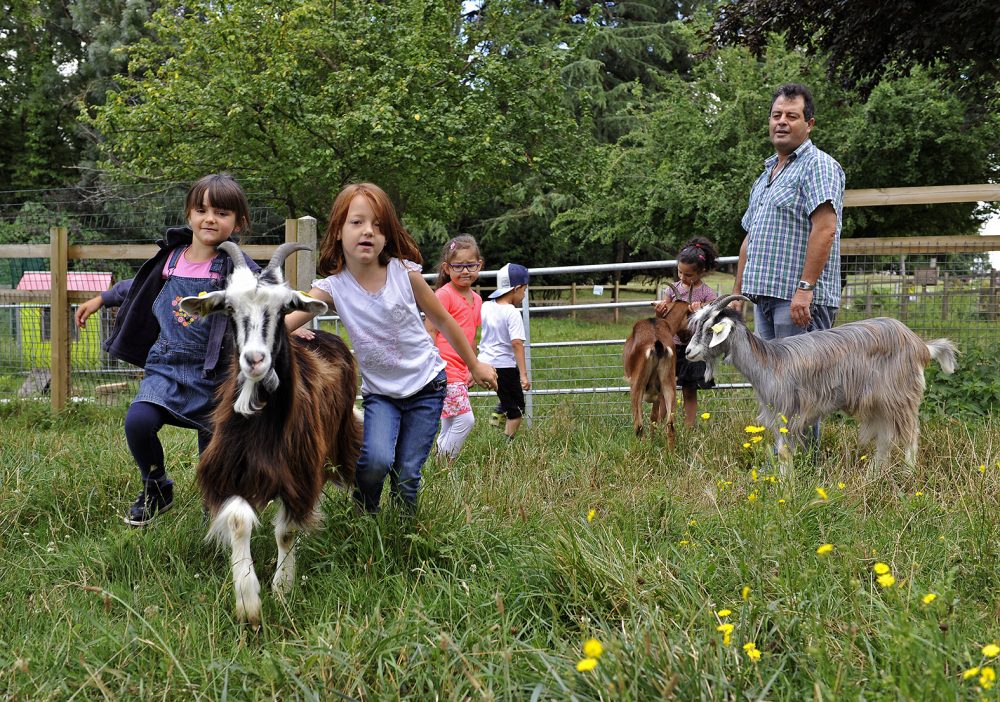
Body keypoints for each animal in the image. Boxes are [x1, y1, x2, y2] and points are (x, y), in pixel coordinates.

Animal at [180, 243, 360, 632]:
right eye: (229, 307)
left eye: (284, 307)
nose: (255, 359)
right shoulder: (231, 473)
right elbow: (238, 521)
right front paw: (248, 602)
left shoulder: (298, 475)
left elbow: (286, 532)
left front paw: (282, 587)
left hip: (341, 438)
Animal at [620, 284, 692, 442]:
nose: (688, 337)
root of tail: (657, 343)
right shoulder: (658, 392)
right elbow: (654, 417)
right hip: (668, 383)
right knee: (670, 425)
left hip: (637, 386)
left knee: (639, 426)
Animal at [684, 296, 956, 468]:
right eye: (697, 325)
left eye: (710, 329)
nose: (688, 352)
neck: (770, 362)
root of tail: (921, 346)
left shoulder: (788, 413)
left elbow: (784, 453)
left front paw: (786, 492)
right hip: (879, 400)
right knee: (886, 437)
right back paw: (876, 474)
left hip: (900, 395)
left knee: (910, 435)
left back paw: (909, 474)